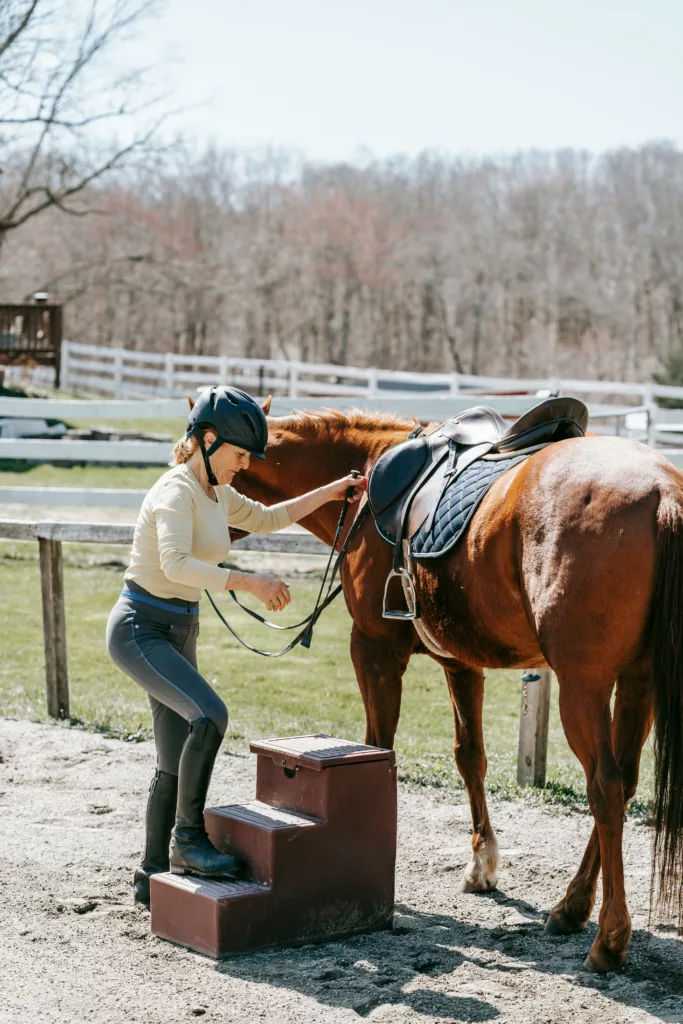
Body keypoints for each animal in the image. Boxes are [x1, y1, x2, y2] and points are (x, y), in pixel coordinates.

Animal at [231, 397, 683, 966]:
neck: (367, 479)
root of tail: (663, 491)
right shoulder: (460, 664)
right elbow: (471, 757)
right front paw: (482, 864)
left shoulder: (374, 650)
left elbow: (377, 747)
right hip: (637, 683)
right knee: (623, 784)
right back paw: (572, 907)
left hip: (584, 686)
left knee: (604, 787)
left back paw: (608, 938)